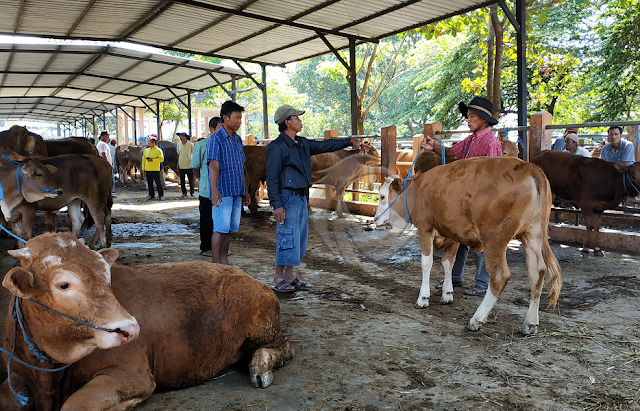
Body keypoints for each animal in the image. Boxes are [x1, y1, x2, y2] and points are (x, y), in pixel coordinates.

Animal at [0, 233, 296, 410]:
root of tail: (245, 275)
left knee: (285, 346)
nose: (130, 328)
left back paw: (259, 366)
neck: (47, 372)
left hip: (261, 323)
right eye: (63, 284)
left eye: (107, 276)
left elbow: (74, 405)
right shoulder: (15, 376)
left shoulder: (132, 374)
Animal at [376, 157, 560, 334]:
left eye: (382, 196)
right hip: (532, 233)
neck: (418, 190)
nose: (375, 219)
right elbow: (448, 263)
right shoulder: (453, 234)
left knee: (499, 277)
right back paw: (530, 323)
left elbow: (427, 263)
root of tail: (529, 167)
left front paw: (423, 298)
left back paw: (476, 320)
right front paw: (447, 293)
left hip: (494, 239)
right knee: (537, 273)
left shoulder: (424, 228)